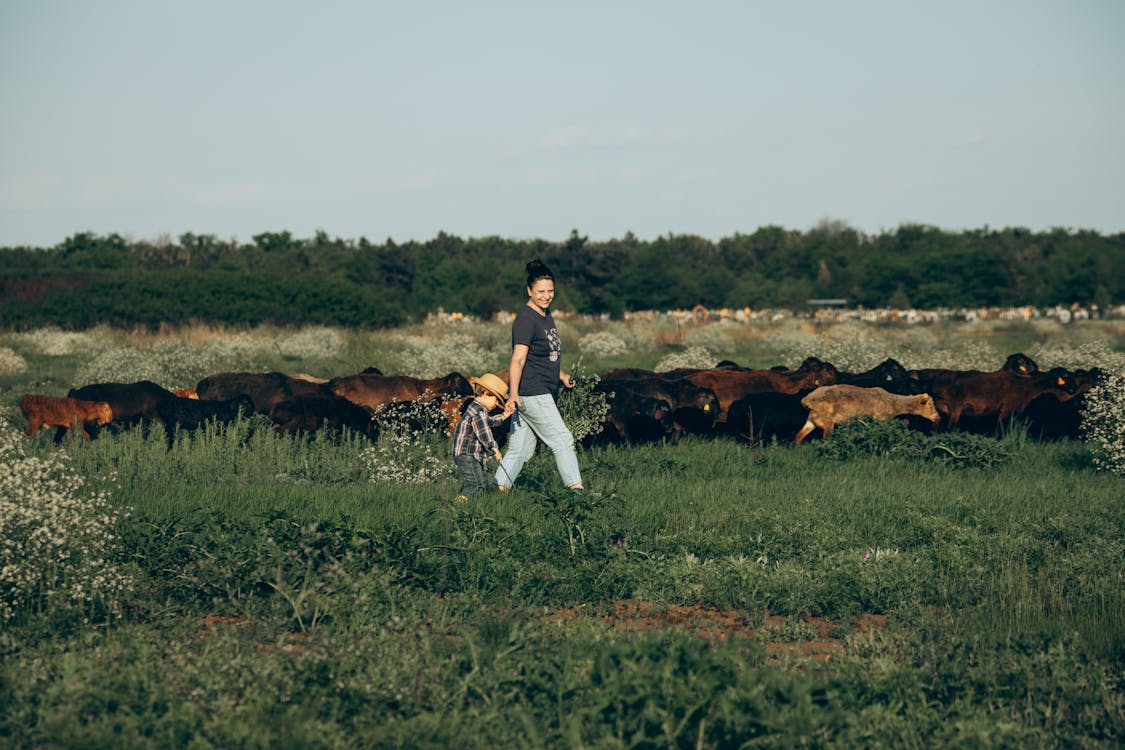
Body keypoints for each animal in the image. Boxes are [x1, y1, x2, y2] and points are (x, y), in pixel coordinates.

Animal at [796, 386, 945, 445]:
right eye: (930, 404)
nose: (937, 417)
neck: (893, 403)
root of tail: (807, 399)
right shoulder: (879, 420)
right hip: (827, 422)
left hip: (812, 420)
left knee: (798, 437)